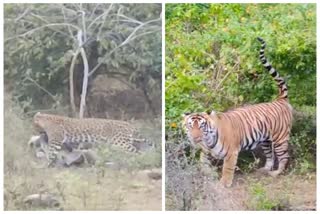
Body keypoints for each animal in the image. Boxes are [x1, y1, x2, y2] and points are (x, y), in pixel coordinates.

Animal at [182, 37, 292, 188]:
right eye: (190, 126)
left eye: (201, 127)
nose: (195, 138)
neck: (208, 140)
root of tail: (280, 99)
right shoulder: (205, 150)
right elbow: (202, 162)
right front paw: (207, 175)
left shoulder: (231, 153)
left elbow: (227, 169)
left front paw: (224, 184)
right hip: (265, 140)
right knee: (270, 155)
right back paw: (264, 169)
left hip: (280, 138)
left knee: (284, 157)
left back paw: (276, 173)